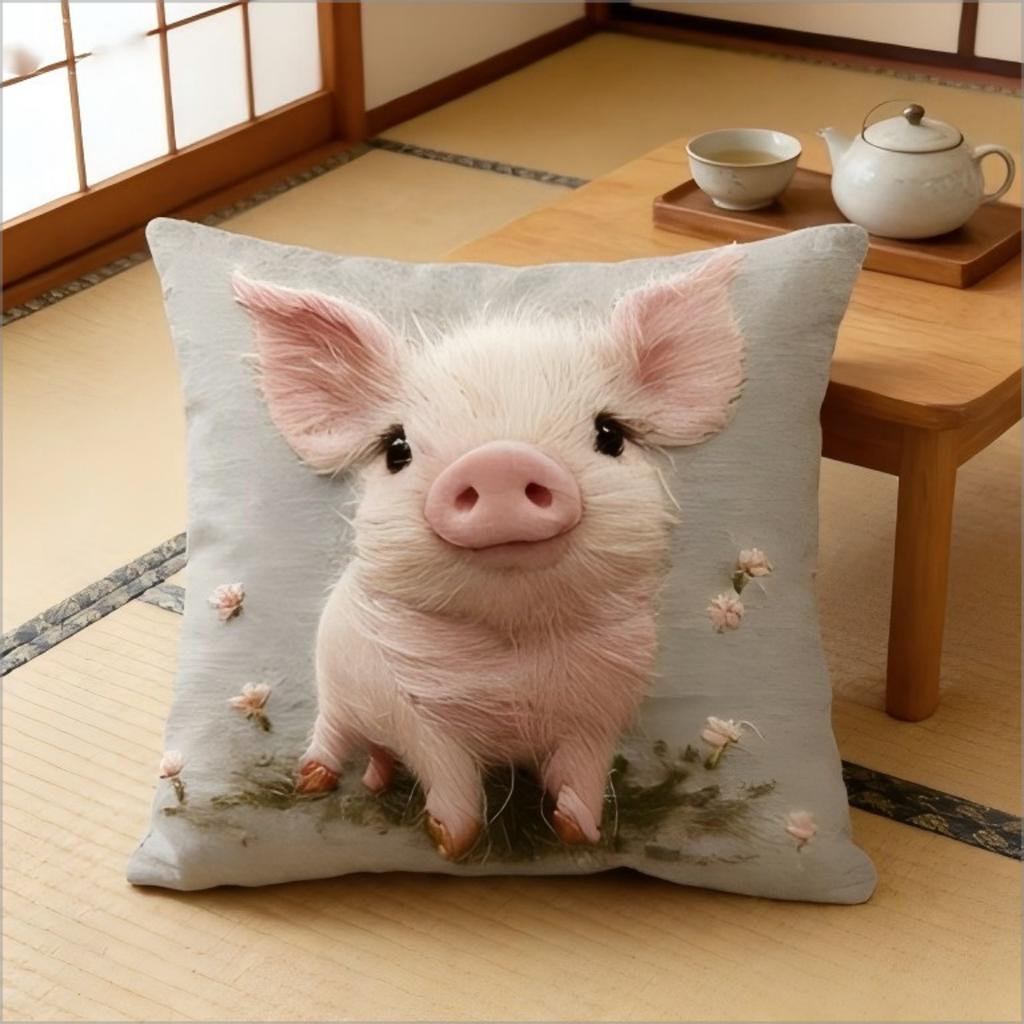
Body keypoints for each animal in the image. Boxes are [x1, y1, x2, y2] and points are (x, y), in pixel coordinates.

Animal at [233, 248, 744, 861]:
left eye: (611, 433)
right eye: (396, 449)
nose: (500, 461)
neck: (516, 657)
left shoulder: (600, 715)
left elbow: (583, 777)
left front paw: (581, 835)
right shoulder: (418, 713)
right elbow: (450, 776)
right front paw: (452, 845)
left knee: (377, 752)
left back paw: (375, 783)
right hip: (333, 684)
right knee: (332, 734)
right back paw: (313, 784)